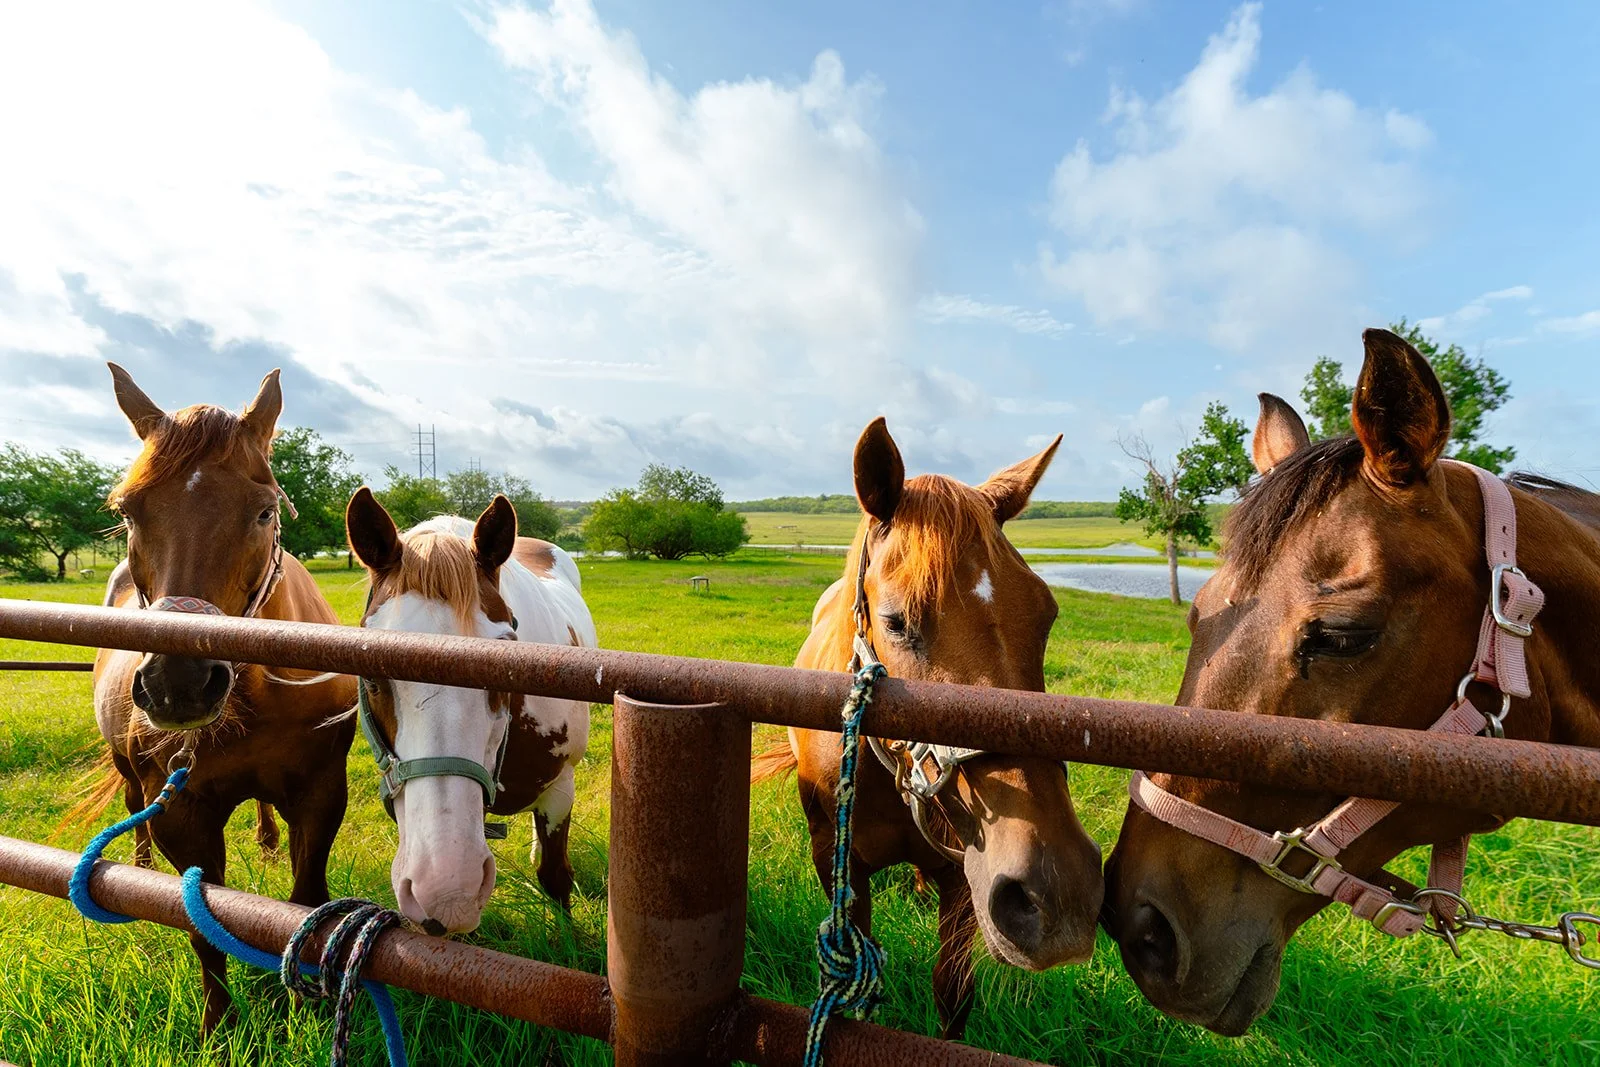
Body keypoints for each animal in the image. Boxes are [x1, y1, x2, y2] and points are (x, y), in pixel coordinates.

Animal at [89, 363, 358, 1032]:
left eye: (264, 512)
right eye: (128, 513)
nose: (177, 683)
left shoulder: (320, 792)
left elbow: (304, 902)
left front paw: (303, 1010)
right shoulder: (181, 811)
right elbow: (200, 924)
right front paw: (220, 1028)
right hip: (129, 771)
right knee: (133, 804)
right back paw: (138, 868)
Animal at [754, 417, 1104, 1039]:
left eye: (1046, 614)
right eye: (896, 621)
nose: (1058, 890)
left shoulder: (965, 879)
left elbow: (953, 992)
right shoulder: (838, 866)